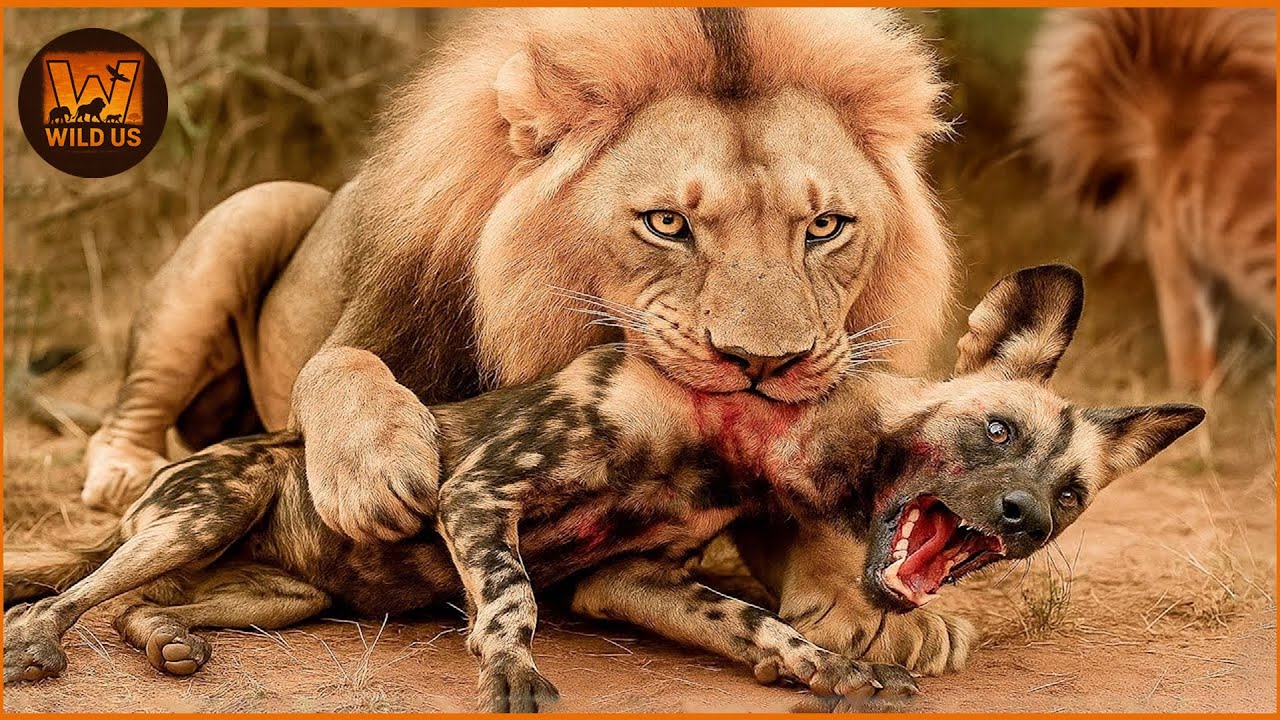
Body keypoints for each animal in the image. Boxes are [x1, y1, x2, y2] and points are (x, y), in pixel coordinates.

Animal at [81, 8, 962, 674]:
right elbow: (334, 362)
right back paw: (117, 475)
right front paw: (377, 473)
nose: (764, 364)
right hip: (255, 207)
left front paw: (883, 612)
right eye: (666, 224)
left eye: (825, 227)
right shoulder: (372, 333)